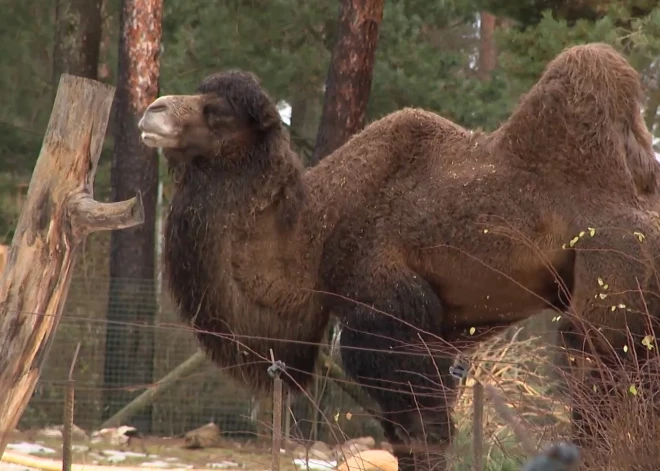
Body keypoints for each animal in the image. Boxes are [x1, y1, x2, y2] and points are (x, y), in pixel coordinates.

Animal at [137, 42, 660, 470]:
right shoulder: (444, 332)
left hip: (613, 289)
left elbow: (420, 433)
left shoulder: (388, 315)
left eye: (219, 113)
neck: (316, 236)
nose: (152, 111)